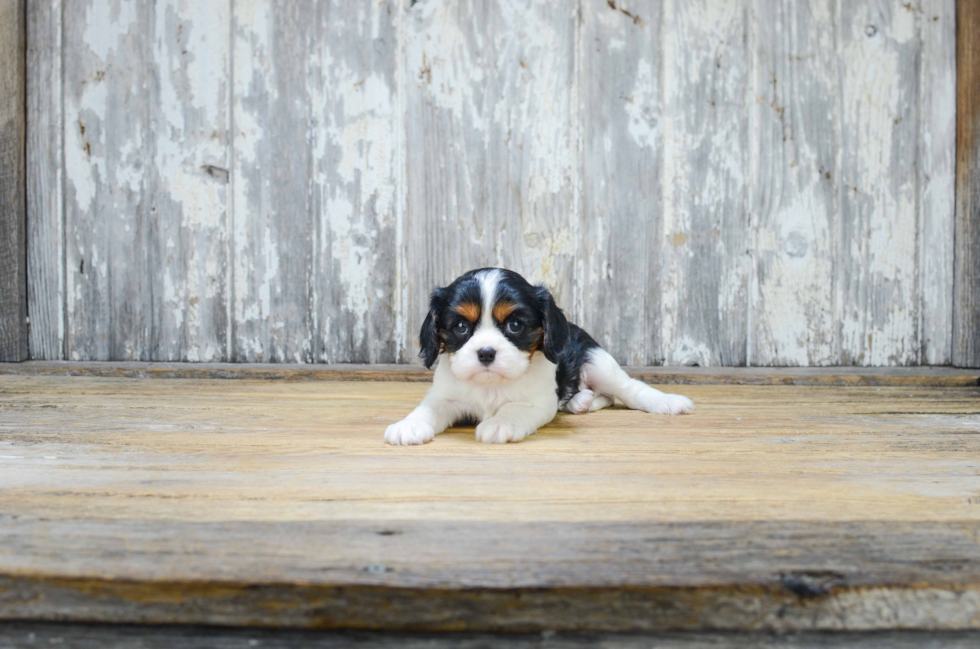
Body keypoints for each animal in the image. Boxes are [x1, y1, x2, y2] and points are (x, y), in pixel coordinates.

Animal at [384, 268, 696, 446]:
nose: (486, 353)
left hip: (598, 361)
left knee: (628, 390)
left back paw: (666, 402)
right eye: (461, 327)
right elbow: (427, 409)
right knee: (602, 397)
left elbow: (514, 408)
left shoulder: (536, 402)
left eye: (515, 325)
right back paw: (580, 402)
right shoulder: (444, 396)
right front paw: (408, 425)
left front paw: (499, 424)